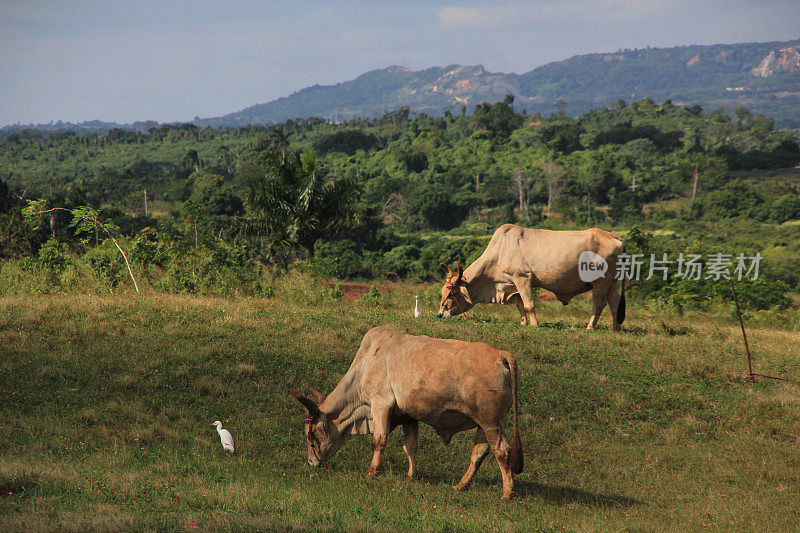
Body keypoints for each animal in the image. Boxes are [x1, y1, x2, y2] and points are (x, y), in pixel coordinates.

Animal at [288, 324, 524, 498]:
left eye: (310, 433)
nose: (312, 462)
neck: (367, 361)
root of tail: (501, 354)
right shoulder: (409, 416)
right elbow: (410, 446)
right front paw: (412, 476)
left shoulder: (380, 403)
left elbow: (379, 440)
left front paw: (372, 471)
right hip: (486, 424)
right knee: (479, 452)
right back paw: (461, 485)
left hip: (490, 422)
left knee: (501, 450)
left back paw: (507, 492)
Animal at [438, 222, 624, 330]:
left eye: (451, 294)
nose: (440, 314)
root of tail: (613, 236)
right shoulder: (514, 284)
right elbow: (520, 305)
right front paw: (523, 323)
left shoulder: (523, 278)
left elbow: (528, 305)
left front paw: (534, 325)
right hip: (613, 281)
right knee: (614, 303)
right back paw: (616, 328)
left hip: (601, 281)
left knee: (599, 304)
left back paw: (590, 327)